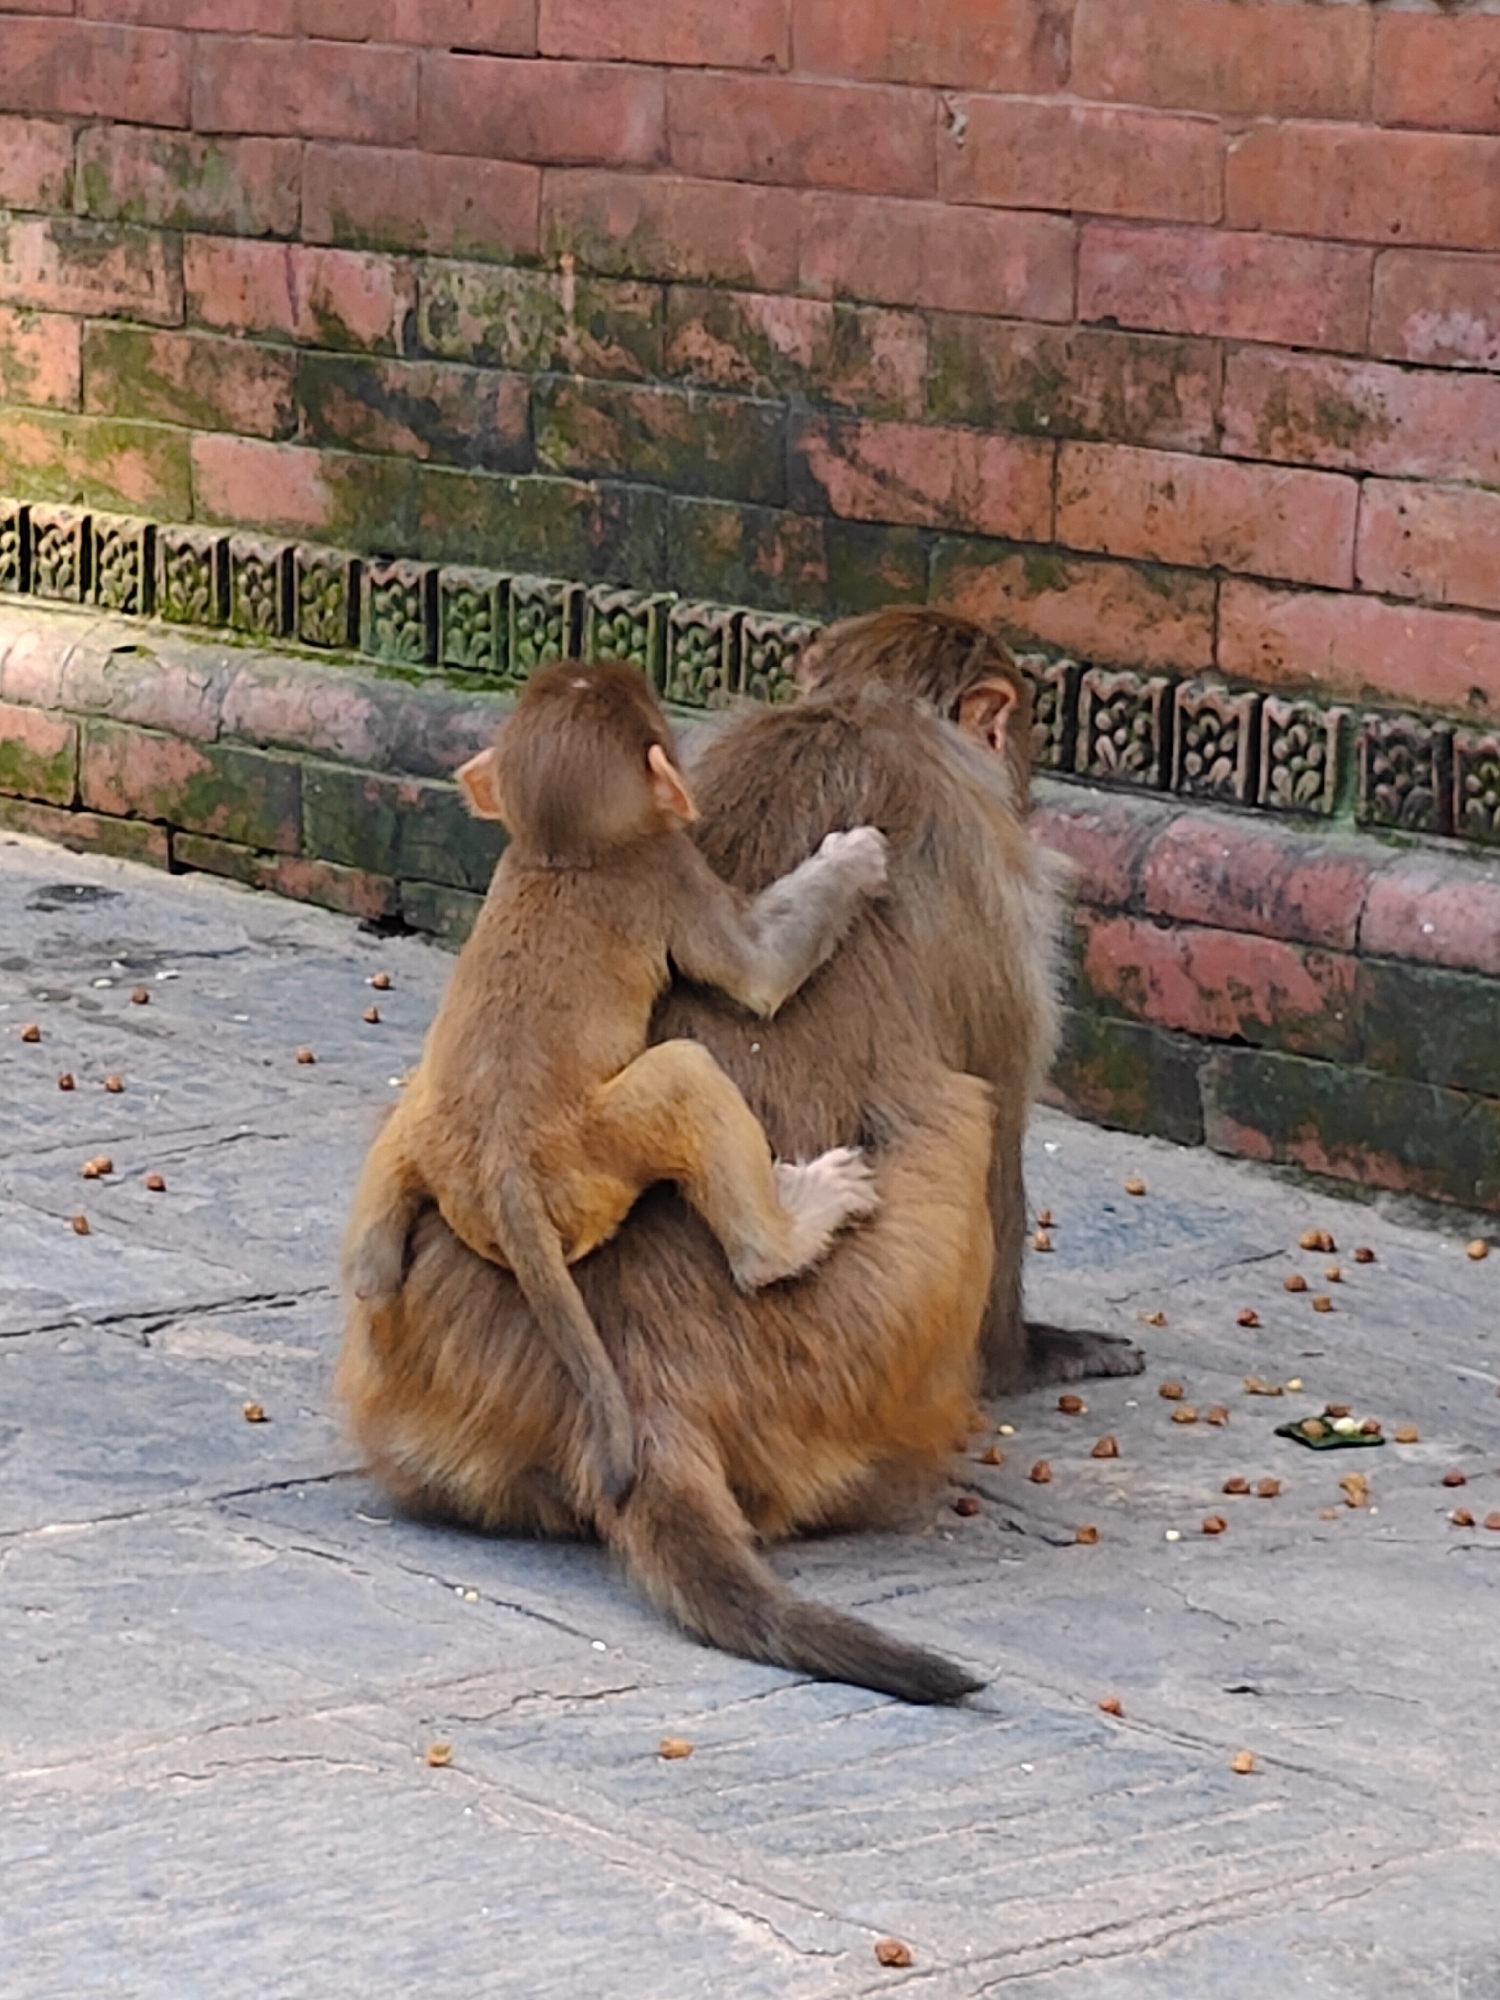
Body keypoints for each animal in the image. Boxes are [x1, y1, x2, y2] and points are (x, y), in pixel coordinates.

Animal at [341, 660, 889, 1516]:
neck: (563, 853)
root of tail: (504, 1175)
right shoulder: (667, 871)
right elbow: (758, 974)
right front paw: (854, 860)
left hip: (428, 1134)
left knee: (388, 1196)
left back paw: (372, 1281)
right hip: (604, 1145)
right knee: (685, 1074)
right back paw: (788, 1234)